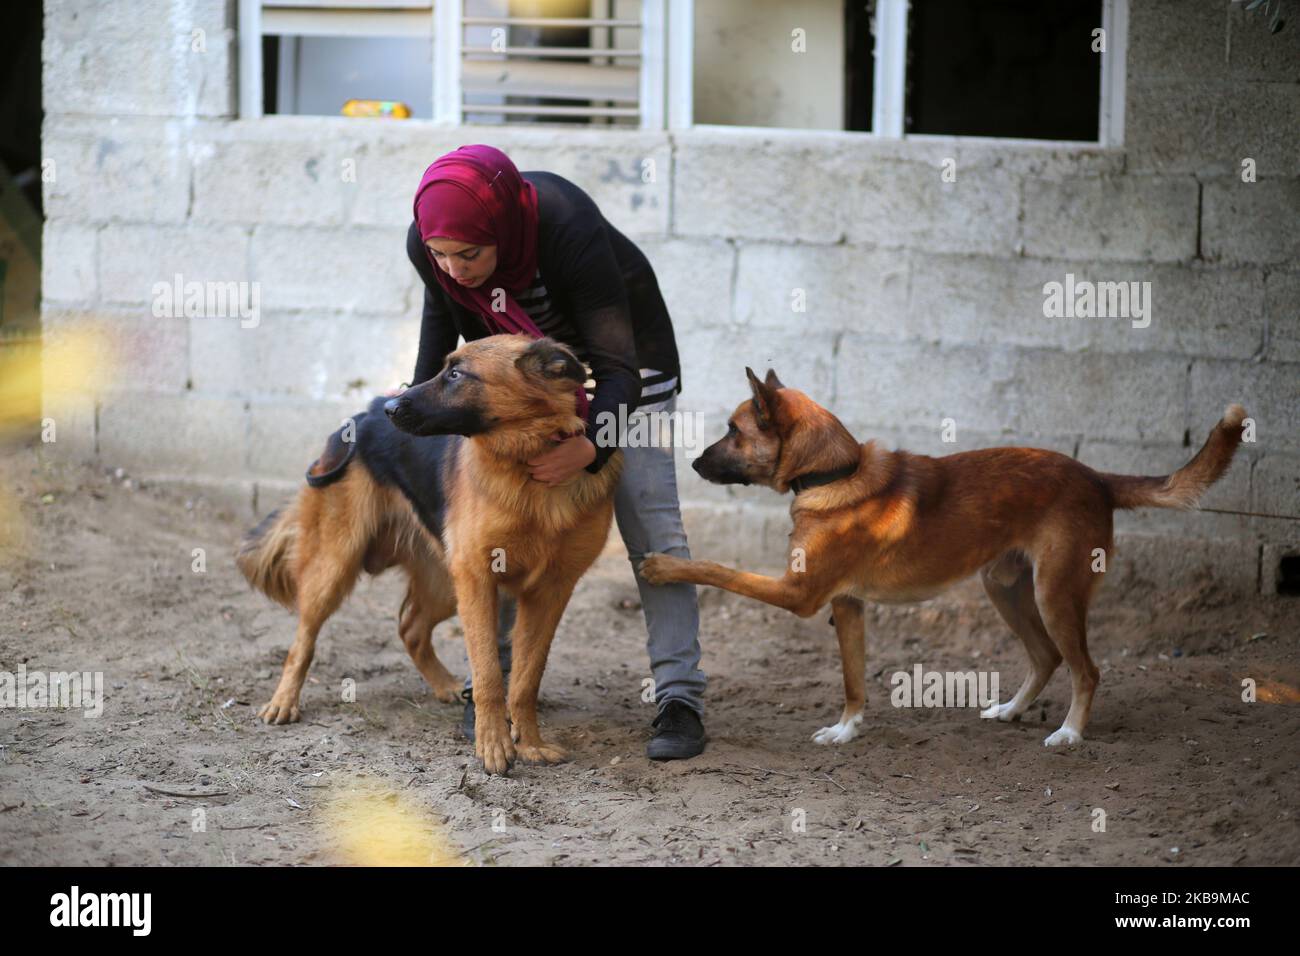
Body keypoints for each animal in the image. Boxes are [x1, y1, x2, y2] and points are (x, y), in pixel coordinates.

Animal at [240, 332, 624, 775]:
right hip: (336, 565)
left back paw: (445, 686)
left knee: (410, 628)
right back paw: (283, 702)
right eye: (445, 368)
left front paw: (529, 743)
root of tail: (359, 416)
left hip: (444, 583)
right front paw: (493, 746)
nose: (390, 408)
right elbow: (489, 674)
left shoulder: (549, 592)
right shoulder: (478, 578)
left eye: (456, 374)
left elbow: (526, 679)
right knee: (303, 639)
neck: (527, 464)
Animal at [644, 369, 1242, 749]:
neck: (835, 473)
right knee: (1047, 657)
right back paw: (1011, 711)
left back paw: (1070, 733)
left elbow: (715, 568)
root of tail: (1096, 477)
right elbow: (853, 681)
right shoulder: (848, 606)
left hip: (1053, 594)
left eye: (733, 431)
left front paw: (662, 566)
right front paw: (847, 730)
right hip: (1005, 589)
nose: (692, 463)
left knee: (1086, 669)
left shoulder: (800, 595)